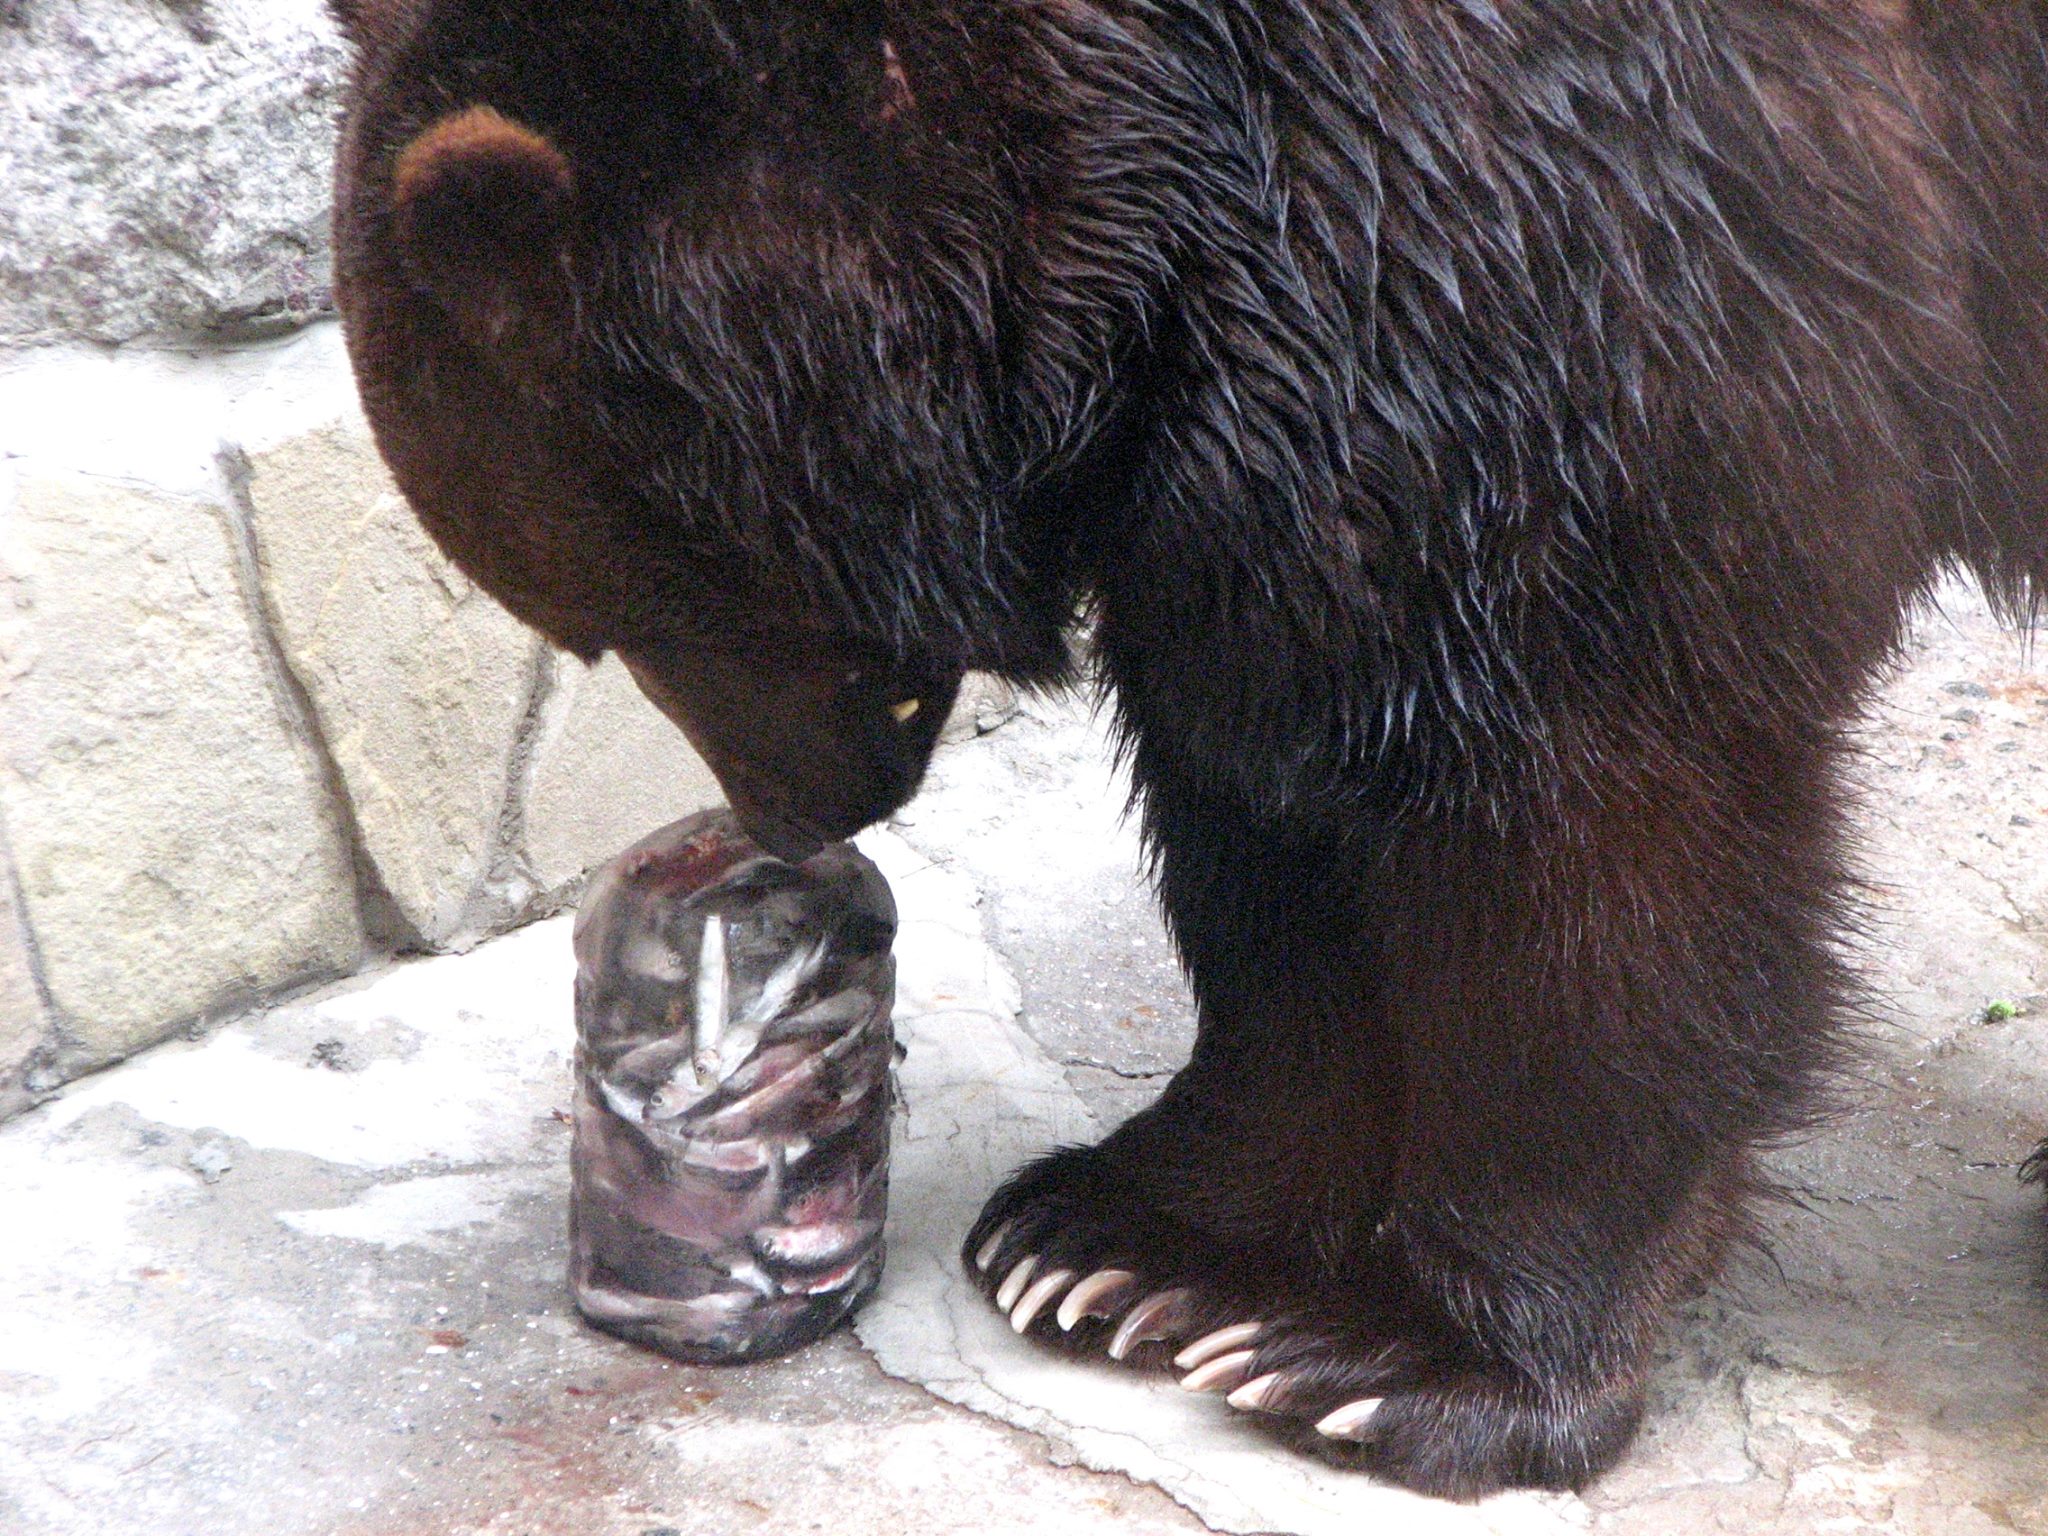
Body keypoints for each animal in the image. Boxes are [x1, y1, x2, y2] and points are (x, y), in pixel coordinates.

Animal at [323, 0, 2048, 1499]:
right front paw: (1119, 1245)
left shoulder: (1596, 254)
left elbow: (1597, 813)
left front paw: (1411, 1364)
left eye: (612, 612)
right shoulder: (1261, 401)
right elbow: (1271, 808)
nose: (798, 815)